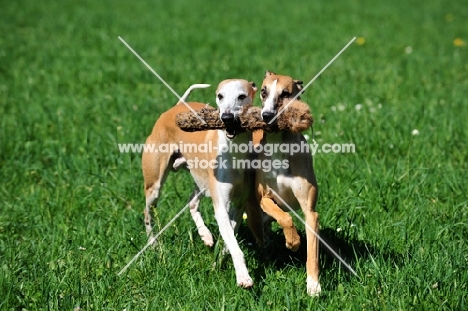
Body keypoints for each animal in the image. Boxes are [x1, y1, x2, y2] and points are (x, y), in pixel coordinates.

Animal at [141, 79, 262, 288]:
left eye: (242, 96)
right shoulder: (221, 206)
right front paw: (243, 276)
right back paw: (154, 244)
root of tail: (175, 107)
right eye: (220, 96)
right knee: (147, 213)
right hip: (154, 184)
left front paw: (219, 261)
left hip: (201, 181)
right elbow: (233, 244)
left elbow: (229, 238)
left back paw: (205, 235)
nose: (227, 117)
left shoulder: (238, 205)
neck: (234, 150)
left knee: (191, 202)